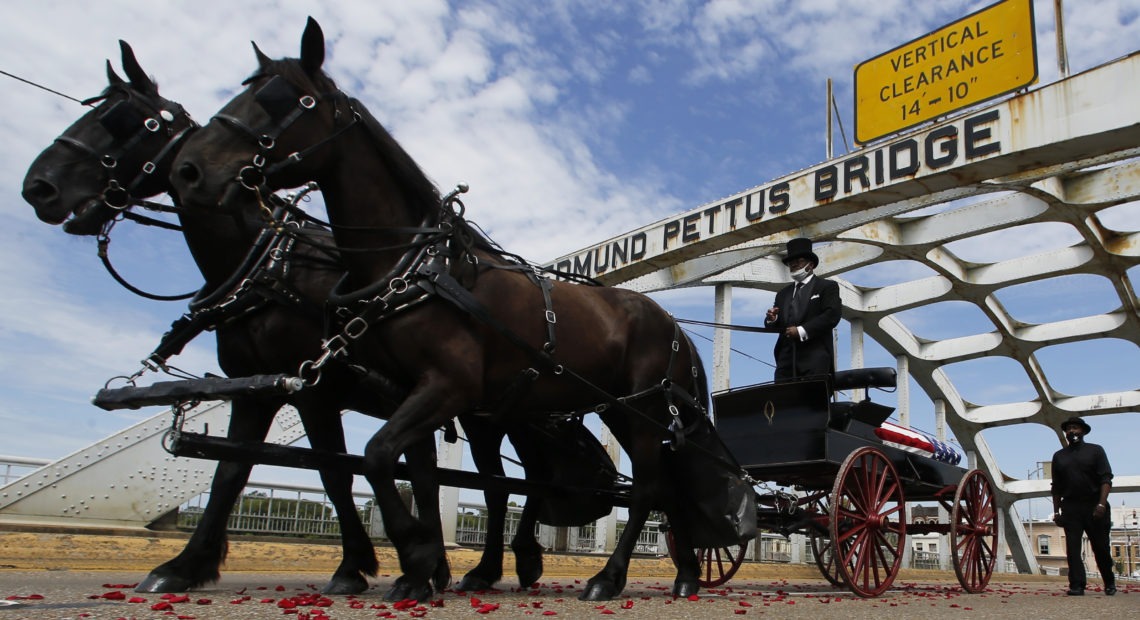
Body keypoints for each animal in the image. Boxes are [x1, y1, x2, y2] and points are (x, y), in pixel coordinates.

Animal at [20, 41, 615, 597]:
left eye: (128, 122)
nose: (37, 188)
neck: (270, 265)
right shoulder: (260, 387)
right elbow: (238, 470)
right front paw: (186, 565)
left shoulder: (317, 391)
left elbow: (337, 472)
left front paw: (369, 565)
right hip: (485, 412)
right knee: (499, 480)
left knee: (507, 483)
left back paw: (506, 562)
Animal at [171, 18, 756, 601]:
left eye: (286, 100)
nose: (189, 169)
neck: (416, 265)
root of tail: (674, 325)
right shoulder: (410, 395)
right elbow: (416, 472)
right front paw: (430, 564)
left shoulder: (442, 387)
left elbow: (377, 456)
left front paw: (417, 555)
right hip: (622, 408)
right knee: (665, 486)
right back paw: (685, 574)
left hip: (642, 409)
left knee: (646, 489)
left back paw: (608, 577)